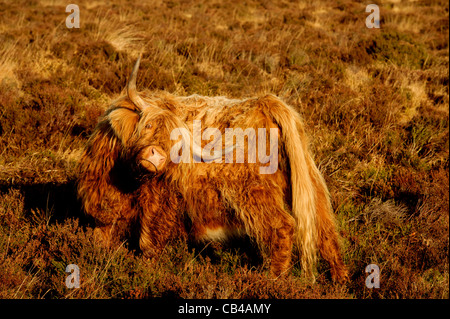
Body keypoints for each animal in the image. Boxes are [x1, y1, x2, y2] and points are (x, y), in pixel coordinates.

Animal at [120, 57, 352, 282]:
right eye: (148, 126)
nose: (155, 156)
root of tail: (267, 103)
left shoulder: (157, 190)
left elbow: (148, 230)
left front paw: (145, 267)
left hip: (251, 189)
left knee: (282, 226)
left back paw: (274, 280)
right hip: (307, 179)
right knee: (325, 227)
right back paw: (340, 280)